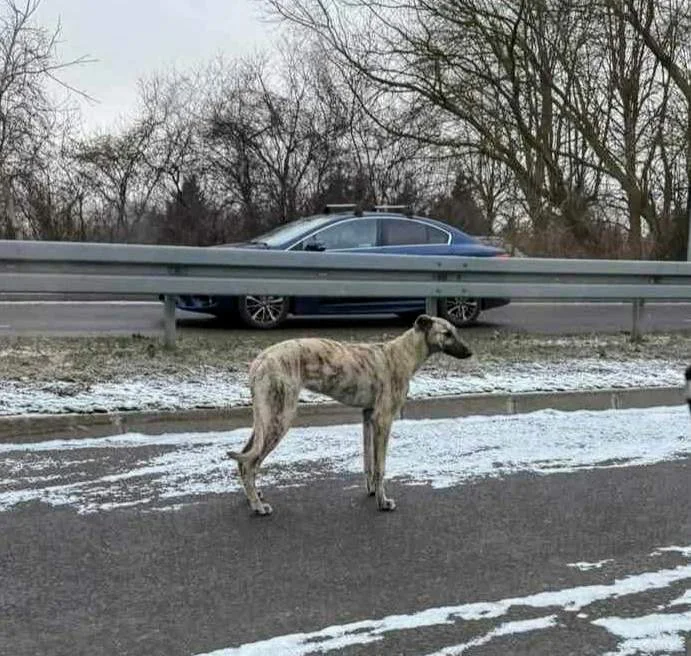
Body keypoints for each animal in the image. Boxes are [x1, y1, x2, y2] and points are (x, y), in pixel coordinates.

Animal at [230, 316, 474, 516]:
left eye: (456, 331)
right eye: (447, 333)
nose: (470, 352)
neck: (402, 354)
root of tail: (260, 360)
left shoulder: (368, 417)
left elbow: (369, 463)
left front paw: (372, 491)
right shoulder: (383, 420)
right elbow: (380, 467)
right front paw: (383, 502)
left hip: (265, 418)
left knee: (245, 458)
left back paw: (254, 496)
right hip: (280, 418)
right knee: (250, 463)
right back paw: (257, 506)